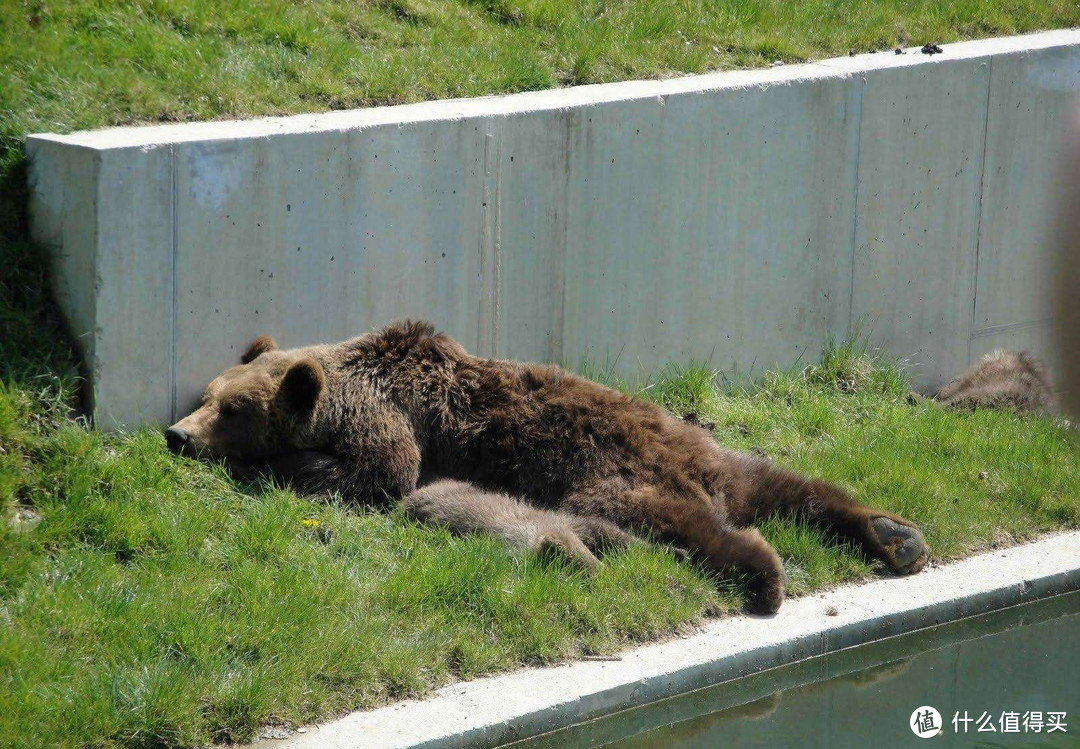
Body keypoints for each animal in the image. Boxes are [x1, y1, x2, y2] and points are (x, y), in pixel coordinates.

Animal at [166, 319, 928, 613]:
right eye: (206, 396)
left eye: (230, 408)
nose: (176, 434)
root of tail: (695, 469)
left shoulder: (392, 421)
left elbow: (378, 476)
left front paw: (274, 466)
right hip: (718, 456)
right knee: (791, 486)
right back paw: (897, 534)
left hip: (613, 478)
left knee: (687, 523)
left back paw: (764, 573)